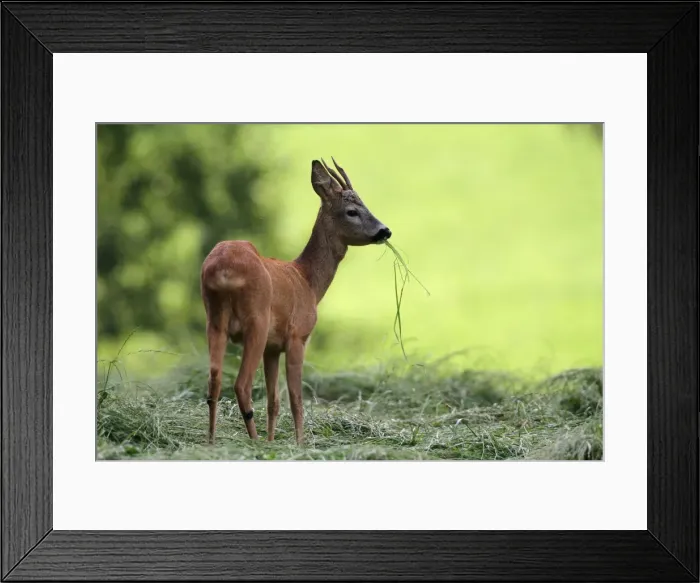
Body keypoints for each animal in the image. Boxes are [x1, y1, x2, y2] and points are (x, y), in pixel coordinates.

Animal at [200, 158, 391, 445]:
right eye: (352, 211)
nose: (385, 230)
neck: (308, 281)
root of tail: (223, 269)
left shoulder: (272, 347)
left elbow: (274, 402)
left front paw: (273, 441)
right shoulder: (298, 336)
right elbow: (296, 400)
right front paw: (300, 444)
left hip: (214, 321)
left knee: (214, 382)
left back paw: (212, 443)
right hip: (256, 321)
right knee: (241, 385)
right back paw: (253, 441)